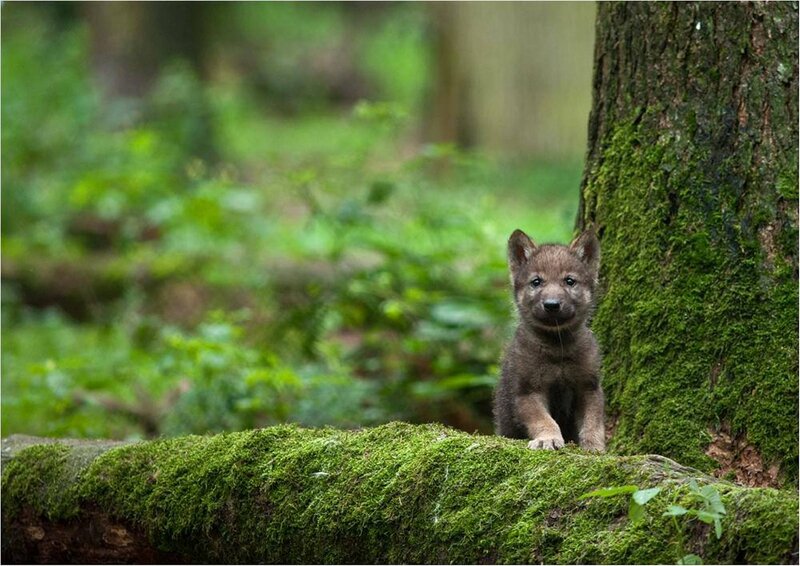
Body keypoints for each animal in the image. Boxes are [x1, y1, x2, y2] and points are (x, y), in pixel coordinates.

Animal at [493, 228, 605, 451]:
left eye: (569, 281)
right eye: (536, 282)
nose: (552, 305)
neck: (558, 347)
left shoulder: (589, 387)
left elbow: (593, 422)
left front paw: (595, 447)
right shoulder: (528, 391)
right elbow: (545, 420)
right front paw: (548, 439)